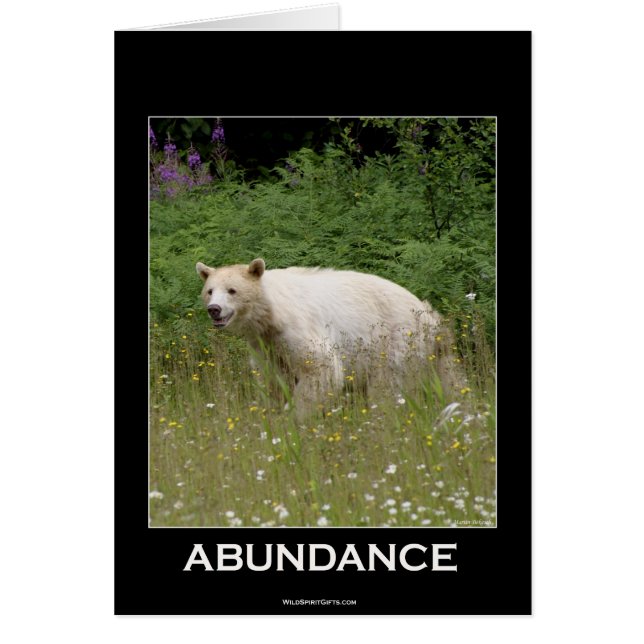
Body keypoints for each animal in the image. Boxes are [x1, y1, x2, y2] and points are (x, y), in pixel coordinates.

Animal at [196, 258, 459, 420]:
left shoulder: (299, 328)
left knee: (387, 386)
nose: (214, 309)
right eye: (210, 290)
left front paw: (294, 417)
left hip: (395, 342)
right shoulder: (266, 346)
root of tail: (430, 317)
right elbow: (275, 380)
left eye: (232, 290)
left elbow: (321, 369)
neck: (271, 315)